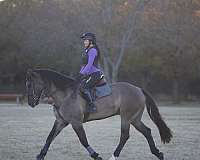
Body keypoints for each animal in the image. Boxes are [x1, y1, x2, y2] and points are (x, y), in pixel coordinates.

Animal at [25, 69, 173, 160]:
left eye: (30, 85)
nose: (30, 103)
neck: (64, 95)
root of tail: (138, 89)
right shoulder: (61, 121)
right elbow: (50, 137)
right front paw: (40, 155)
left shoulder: (76, 122)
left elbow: (83, 140)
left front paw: (96, 155)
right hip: (135, 119)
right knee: (147, 131)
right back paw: (157, 153)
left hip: (126, 117)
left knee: (125, 135)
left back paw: (113, 156)